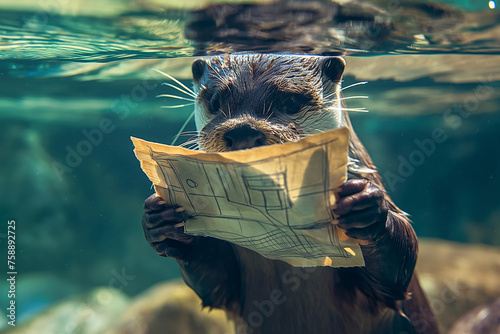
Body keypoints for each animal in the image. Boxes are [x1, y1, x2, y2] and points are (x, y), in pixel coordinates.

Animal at [140, 54, 438, 334]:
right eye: (215, 101)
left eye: (291, 101)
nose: (243, 131)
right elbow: (216, 285)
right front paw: (160, 219)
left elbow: (398, 273)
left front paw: (365, 206)